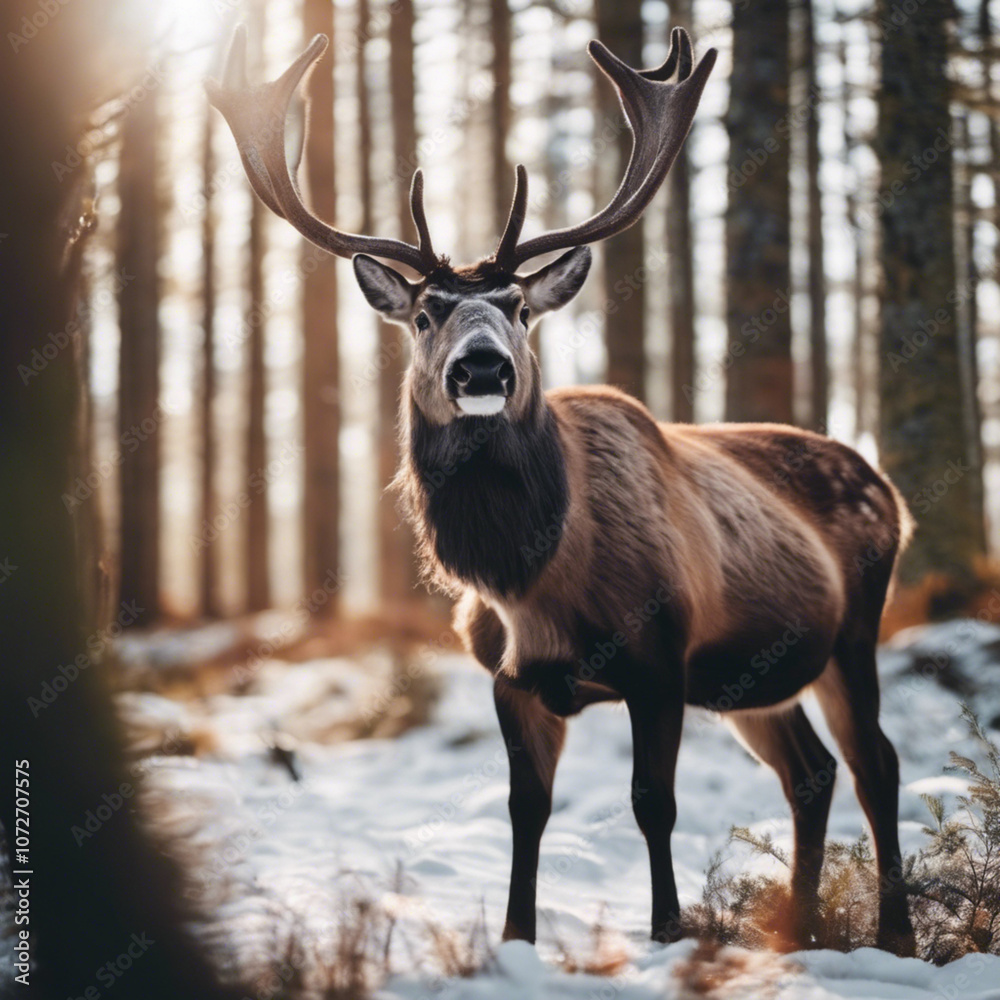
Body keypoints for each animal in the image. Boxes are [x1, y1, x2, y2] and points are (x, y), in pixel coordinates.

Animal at [208, 25, 917, 956]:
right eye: (427, 312)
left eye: (518, 305)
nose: (481, 367)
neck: (533, 580)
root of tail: (893, 494)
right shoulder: (510, 677)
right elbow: (526, 809)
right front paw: (517, 938)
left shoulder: (660, 654)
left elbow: (654, 805)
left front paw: (667, 932)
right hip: (752, 677)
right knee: (813, 769)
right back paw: (796, 931)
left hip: (855, 631)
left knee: (877, 762)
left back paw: (896, 935)